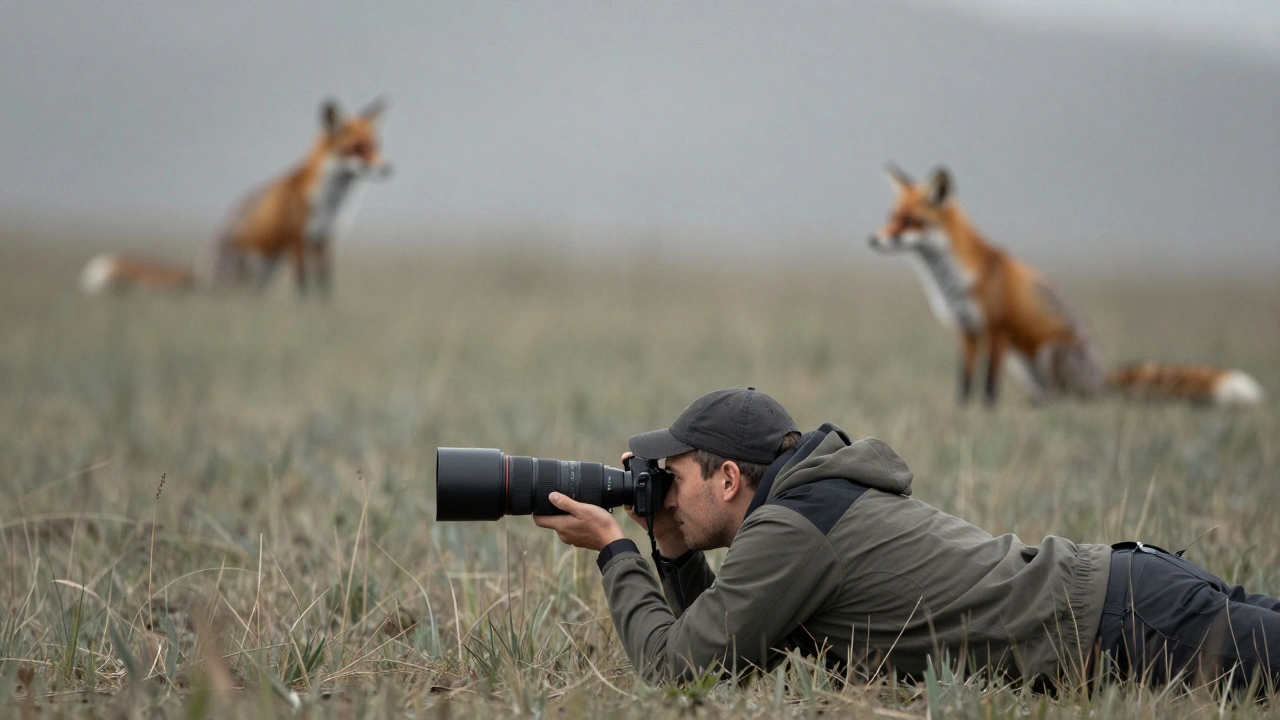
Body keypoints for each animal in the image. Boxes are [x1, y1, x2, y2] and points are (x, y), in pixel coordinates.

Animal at [80, 97, 392, 298]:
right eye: (356, 148)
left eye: (375, 146)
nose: (388, 168)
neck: (330, 201)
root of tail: (200, 269)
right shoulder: (296, 239)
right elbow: (303, 288)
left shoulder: (324, 240)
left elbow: (326, 287)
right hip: (245, 270)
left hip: (265, 272)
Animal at [868, 164, 1263, 407]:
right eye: (891, 217)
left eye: (911, 221)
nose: (873, 239)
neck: (954, 280)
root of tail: (1101, 375)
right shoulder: (966, 329)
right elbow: (965, 383)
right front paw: (963, 413)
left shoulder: (998, 329)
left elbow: (989, 387)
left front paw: (987, 414)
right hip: (1024, 364)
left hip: (1050, 351)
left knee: (1075, 399)